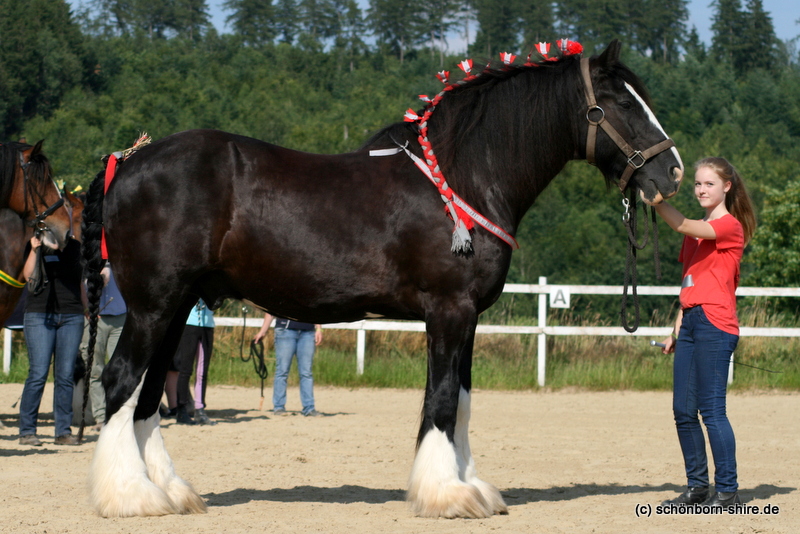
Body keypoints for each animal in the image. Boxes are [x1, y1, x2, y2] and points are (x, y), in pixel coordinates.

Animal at [79, 42, 680, 520]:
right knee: (121, 381)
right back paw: (130, 497)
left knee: (148, 393)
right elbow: (442, 400)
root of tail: (127, 163)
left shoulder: (468, 318)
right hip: (153, 306)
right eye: (623, 102)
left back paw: (170, 493)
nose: (671, 171)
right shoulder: (449, 310)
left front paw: (471, 486)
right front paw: (447, 495)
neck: (464, 178)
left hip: (176, 307)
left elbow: (462, 401)